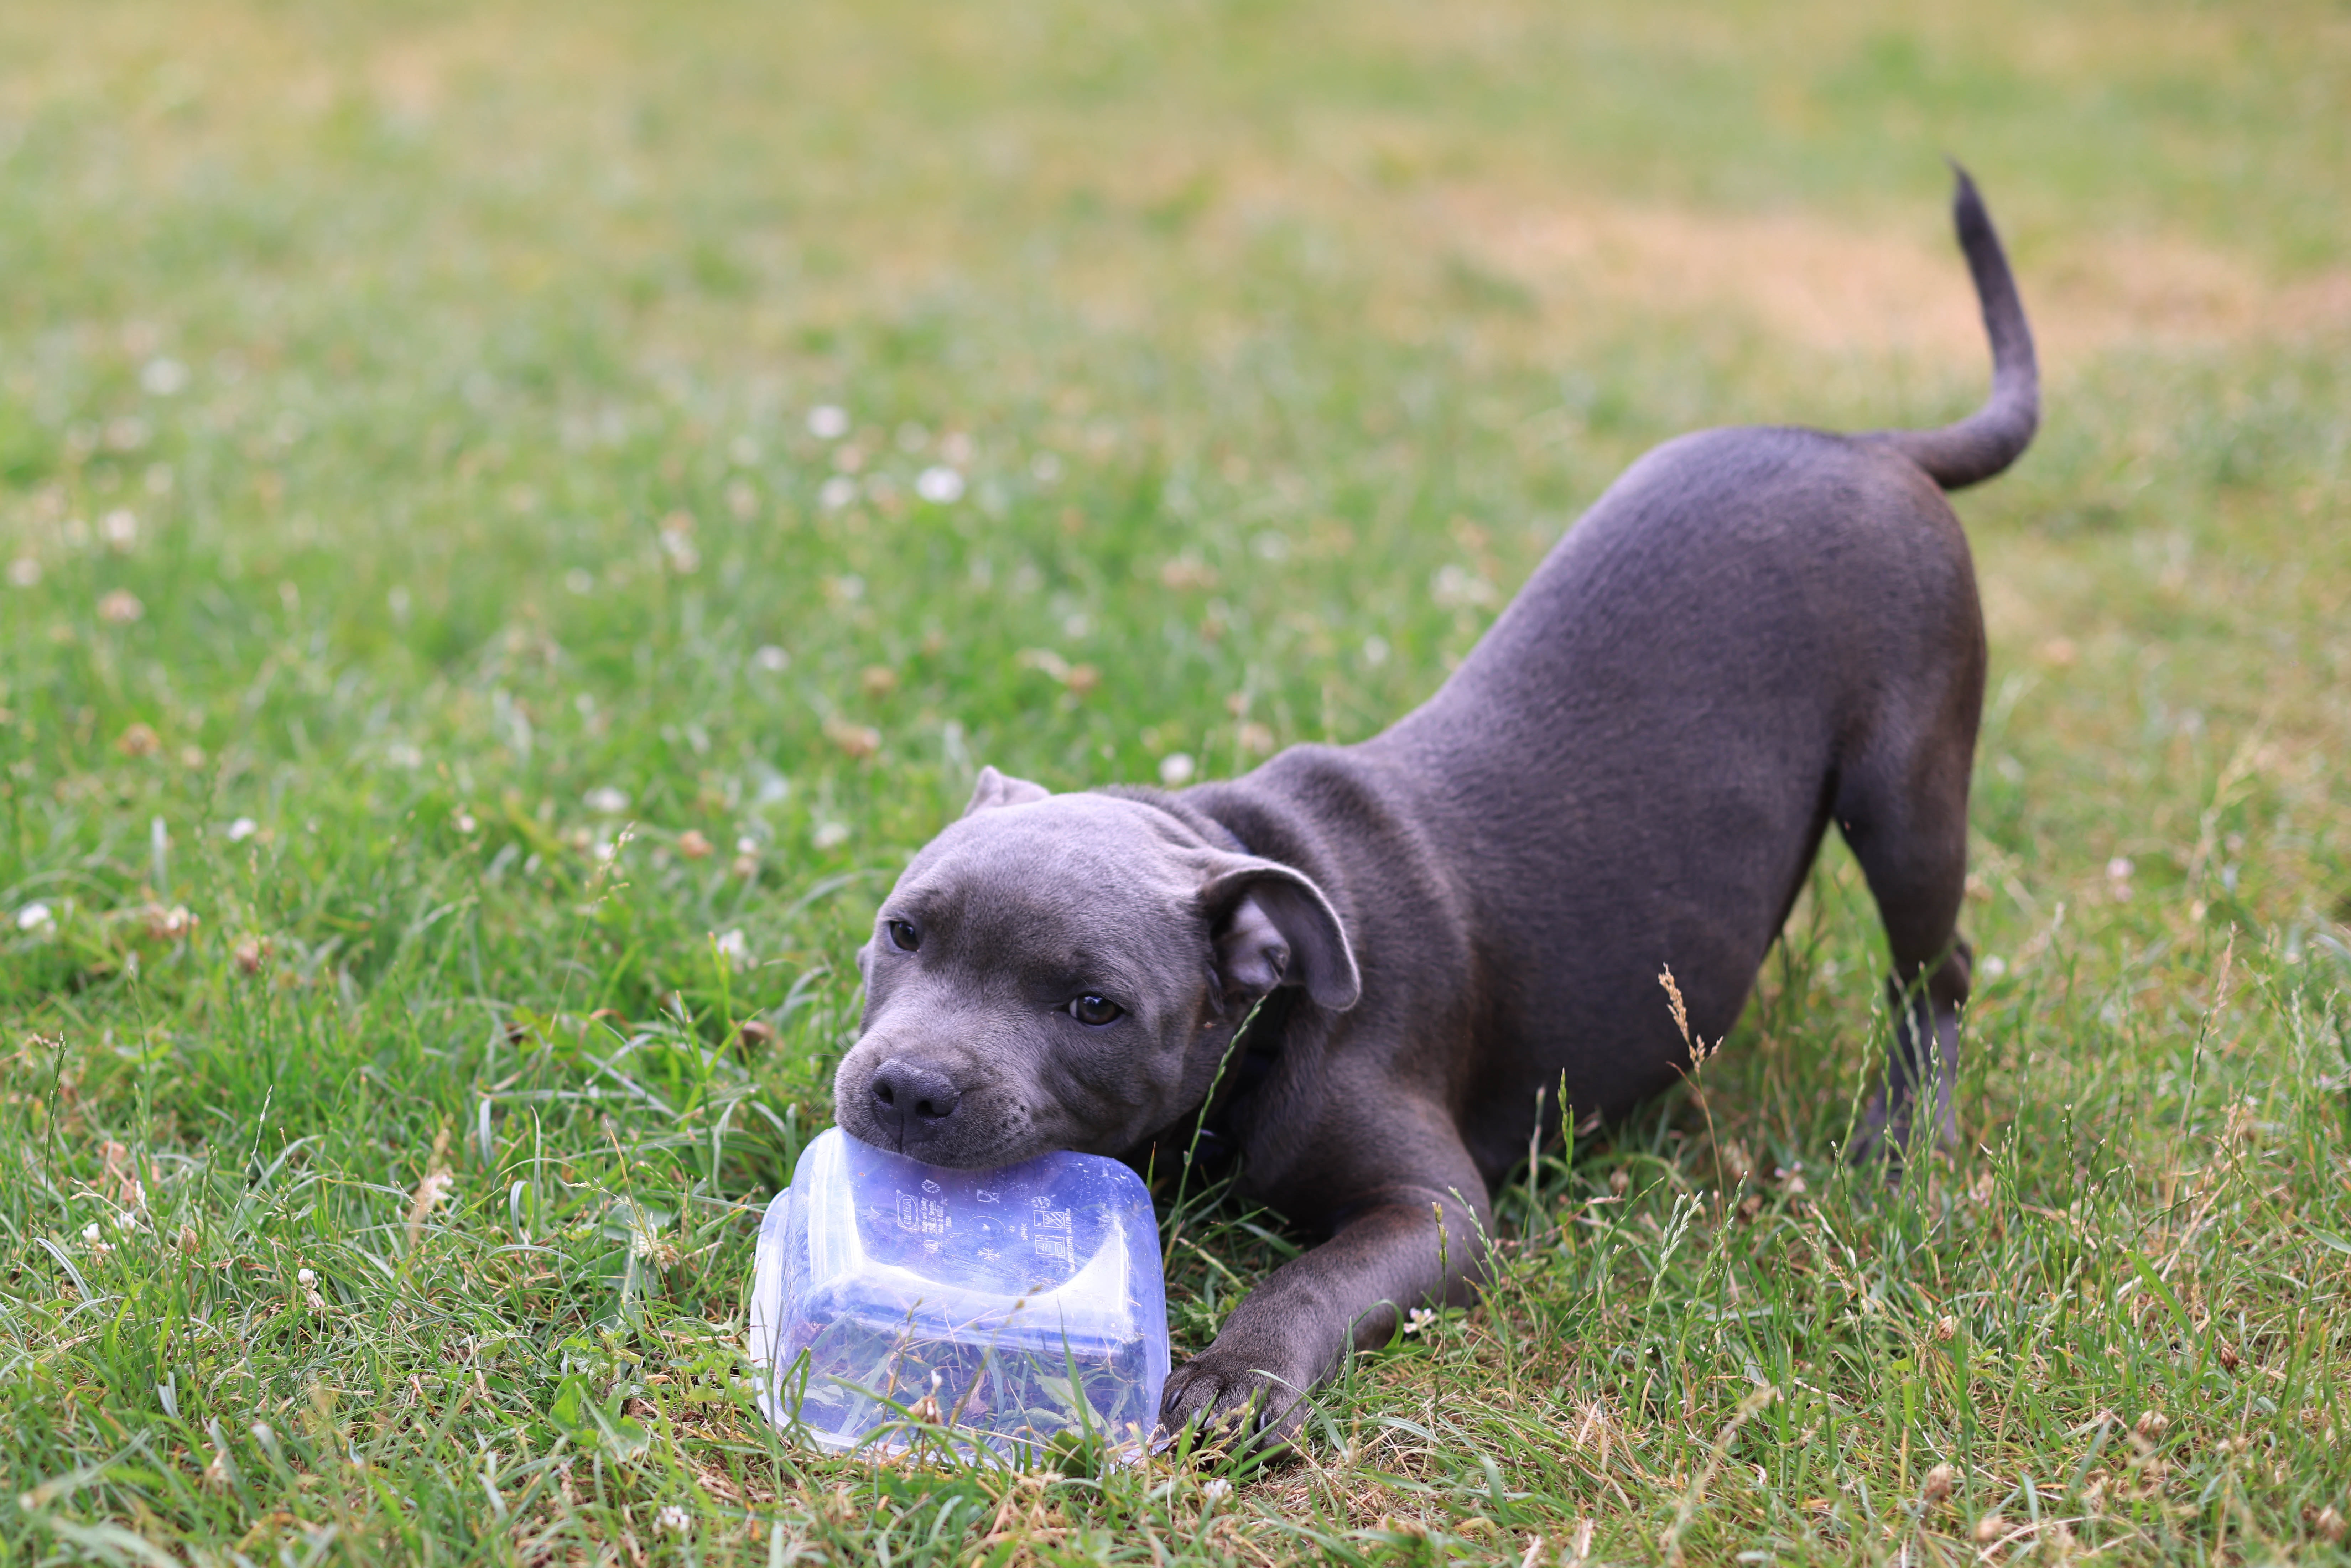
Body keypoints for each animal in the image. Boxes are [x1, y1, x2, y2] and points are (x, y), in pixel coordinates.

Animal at [832, 169, 2040, 1448]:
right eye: (904, 931)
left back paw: (1904, 1137)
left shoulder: (1437, 1207)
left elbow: (1311, 1274)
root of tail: (1867, 443)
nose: (909, 1088)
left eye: (1094, 1007)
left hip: (1907, 792)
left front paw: (1235, 1374)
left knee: (1937, 968)